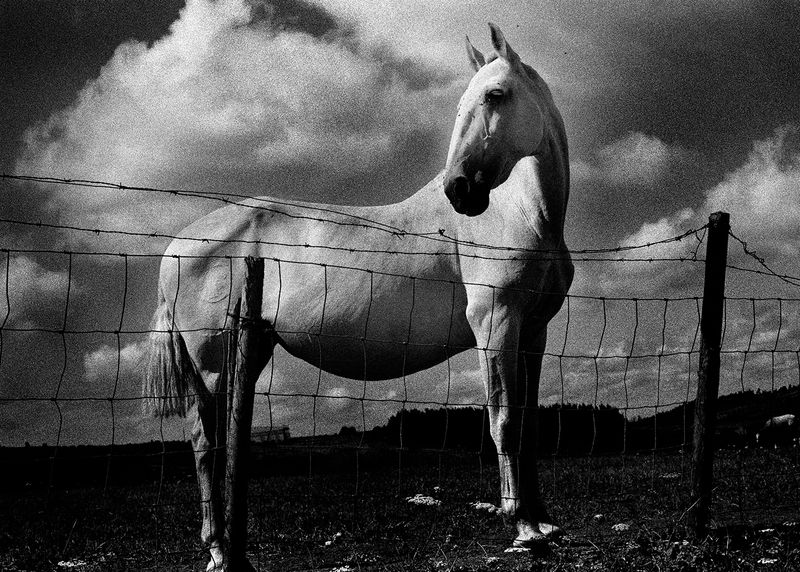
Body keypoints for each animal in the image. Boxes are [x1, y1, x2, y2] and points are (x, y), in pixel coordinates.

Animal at [144, 23, 573, 571]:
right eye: (465, 103)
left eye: (495, 95)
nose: (459, 190)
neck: (523, 214)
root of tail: (177, 247)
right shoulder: (496, 325)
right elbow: (503, 421)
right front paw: (521, 526)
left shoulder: (533, 332)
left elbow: (530, 425)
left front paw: (543, 521)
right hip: (211, 365)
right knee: (205, 443)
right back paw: (218, 550)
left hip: (249, 351)